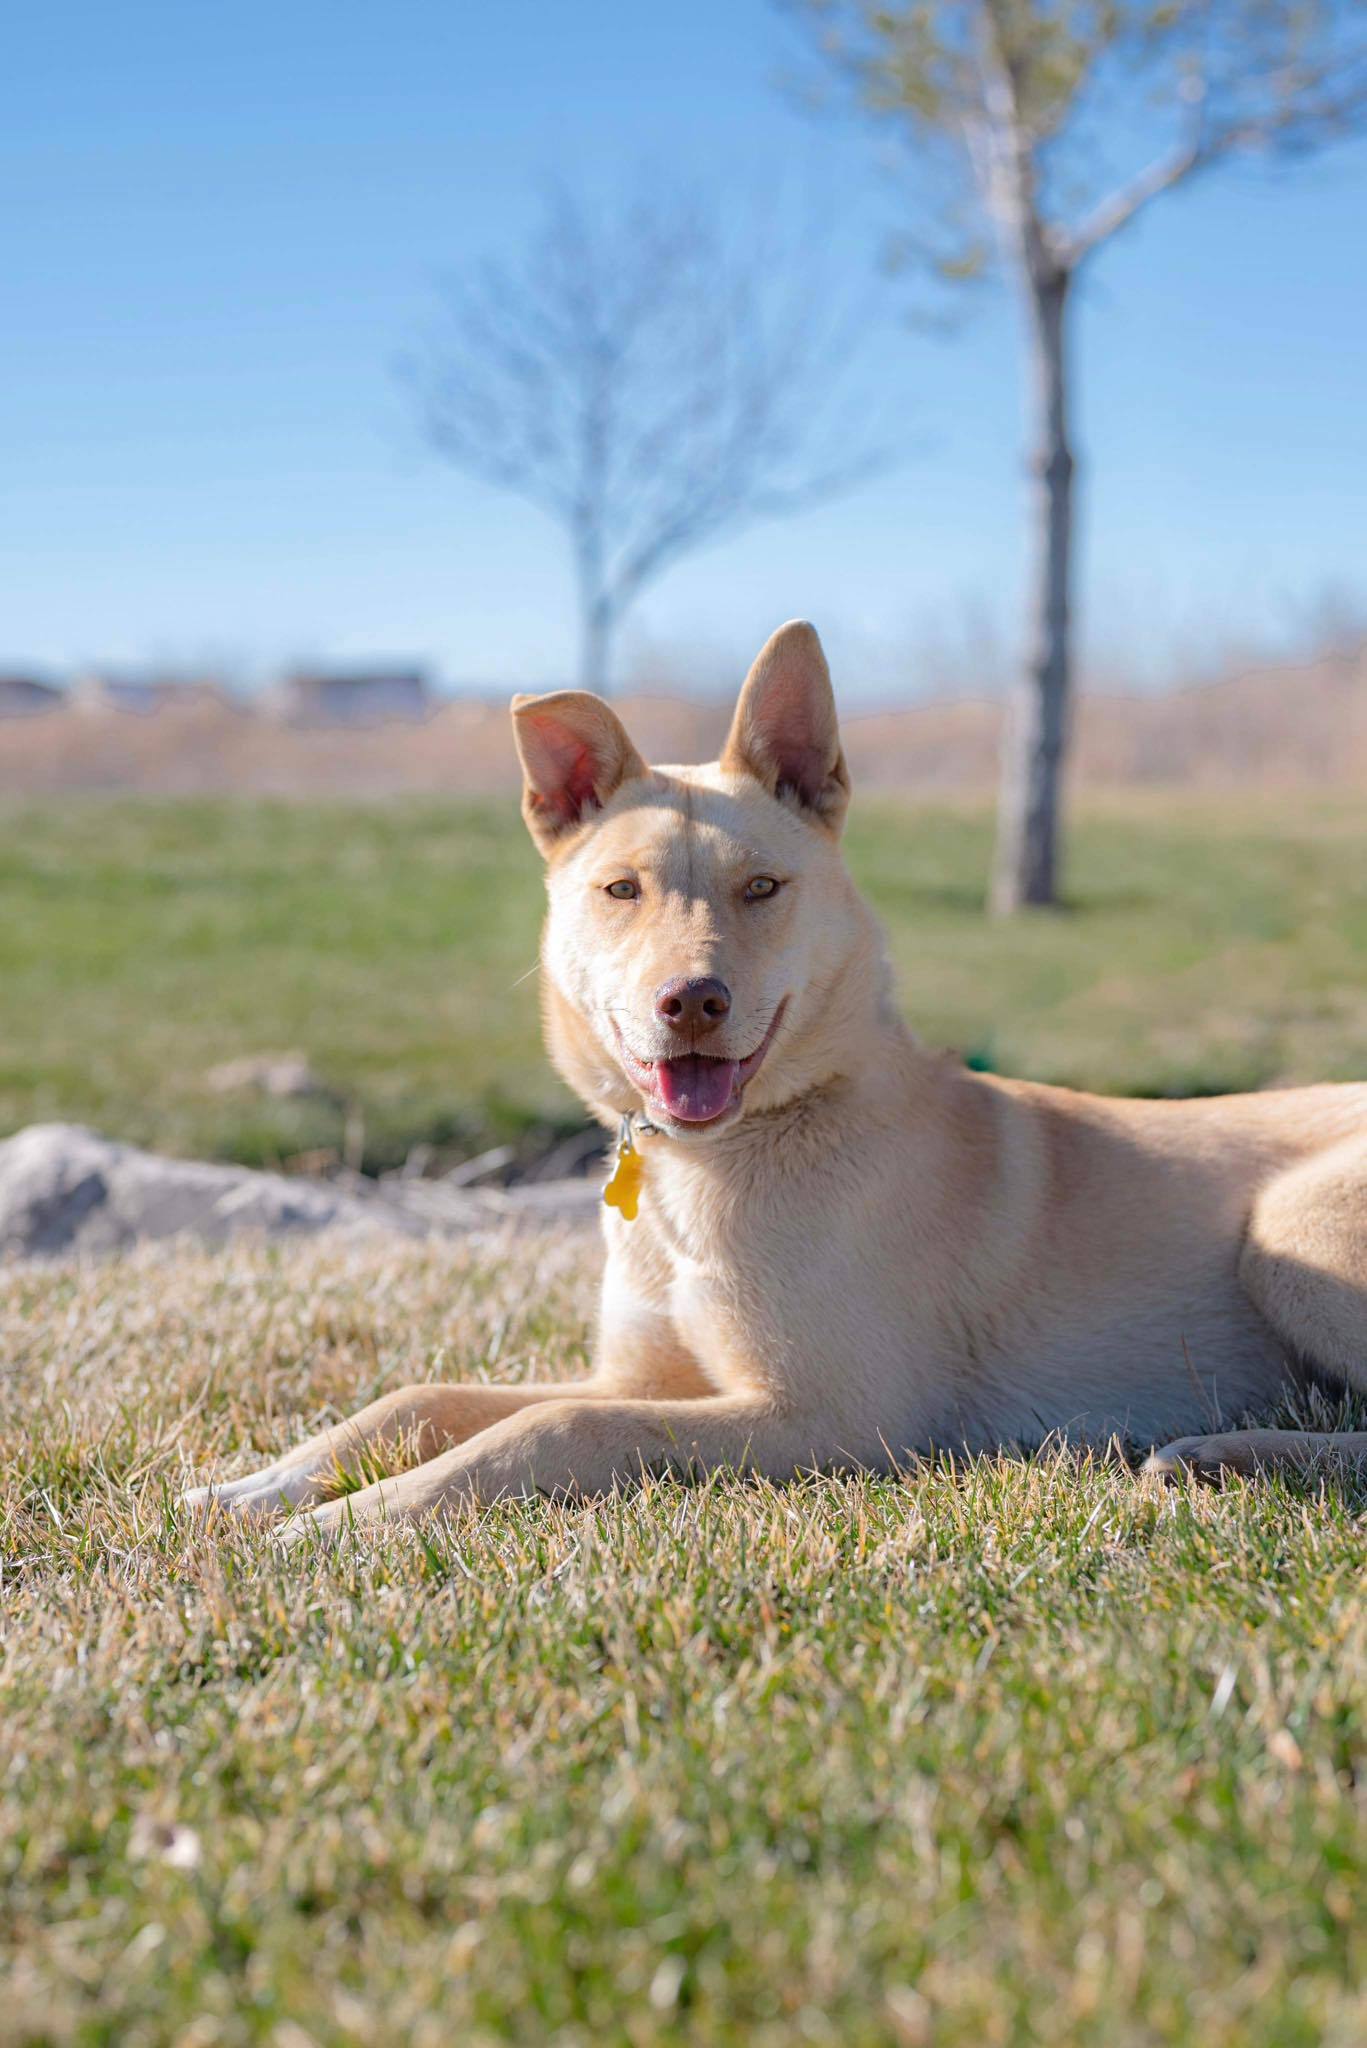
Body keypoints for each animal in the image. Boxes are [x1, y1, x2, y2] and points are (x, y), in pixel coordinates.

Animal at [187, 622, 1367, 1540]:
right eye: (621, 890)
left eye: (762, 887)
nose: (692, 1002)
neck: (717, 1162)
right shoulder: (647, 1376)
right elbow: (421, 1394)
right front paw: (262, 1485)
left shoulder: (828, 1416)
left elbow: (555, 1425)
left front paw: (344, 1521)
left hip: (1288, 1226)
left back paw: (1215, 1450)